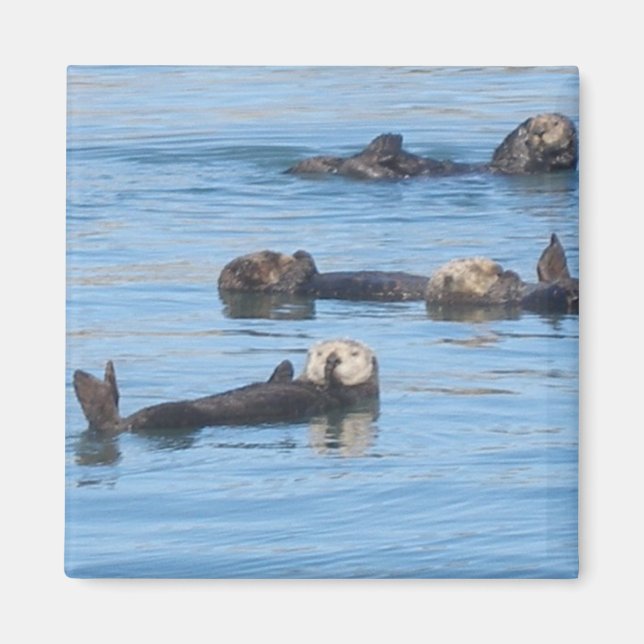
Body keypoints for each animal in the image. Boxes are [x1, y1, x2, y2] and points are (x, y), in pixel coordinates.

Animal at [73, 339, 379, 433]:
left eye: (353, 354)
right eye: (319, 352)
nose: (332, 357)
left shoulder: (357, 395)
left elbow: (341, 392)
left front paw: (331, 372)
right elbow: (280, 378)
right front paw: (285, 365)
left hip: (174, 416)